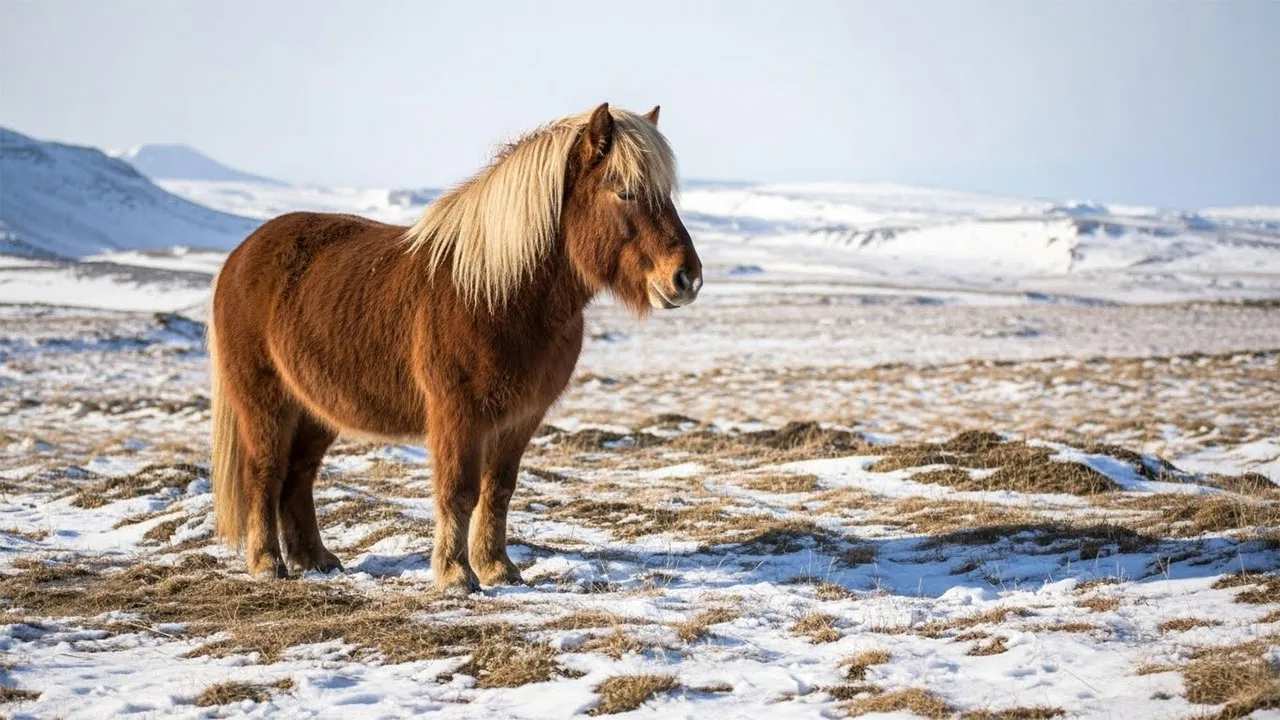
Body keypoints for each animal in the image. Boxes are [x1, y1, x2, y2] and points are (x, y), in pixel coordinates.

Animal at [207, 103, 702, 595]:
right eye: (625, 193)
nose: (687, 279)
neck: (497, 294)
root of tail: (241, 255)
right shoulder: (457, 413)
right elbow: (459, 491)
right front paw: (455, 573)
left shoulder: (520, 419)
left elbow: (499, 489)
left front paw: (498, 567)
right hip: (267, 402)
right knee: (265, 472)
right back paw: (267, 562)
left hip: (315, 409)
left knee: (299, 475)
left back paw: (316, 559)